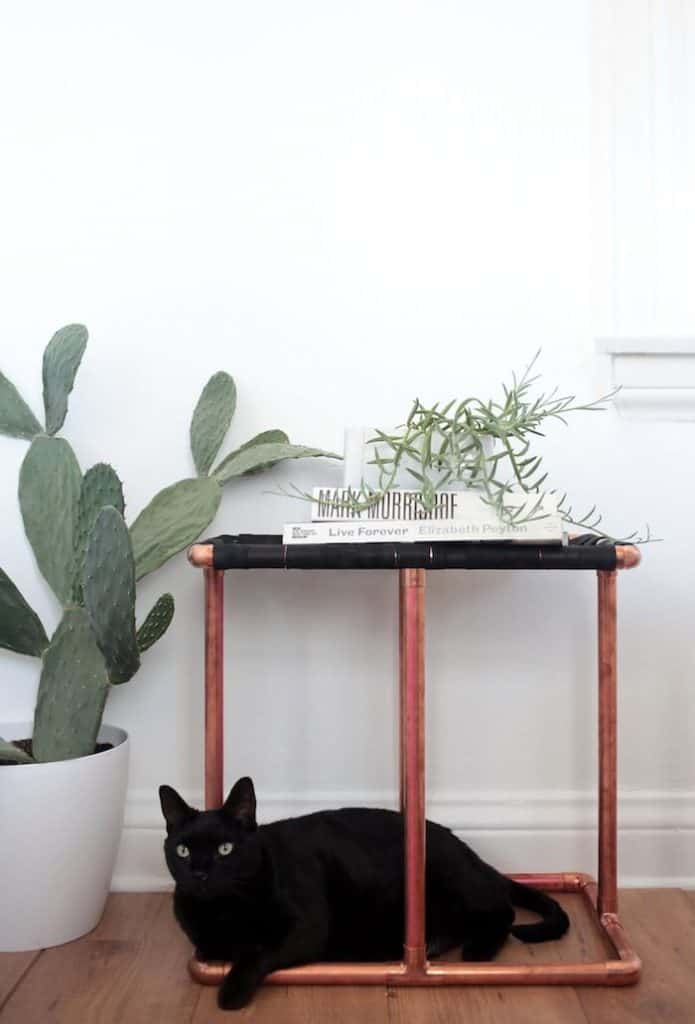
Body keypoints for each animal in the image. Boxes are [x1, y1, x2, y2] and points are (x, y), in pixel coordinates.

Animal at [161, 774, 569, 1007]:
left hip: (450, 880)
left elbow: (257, 952)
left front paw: (230, 992)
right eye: (182, 851)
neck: (222, 910)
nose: (199, 873)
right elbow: (218, 946)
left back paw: (476, 951)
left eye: (224, 849)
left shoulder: (304, 927)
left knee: (502, 911)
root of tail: (475, 856)